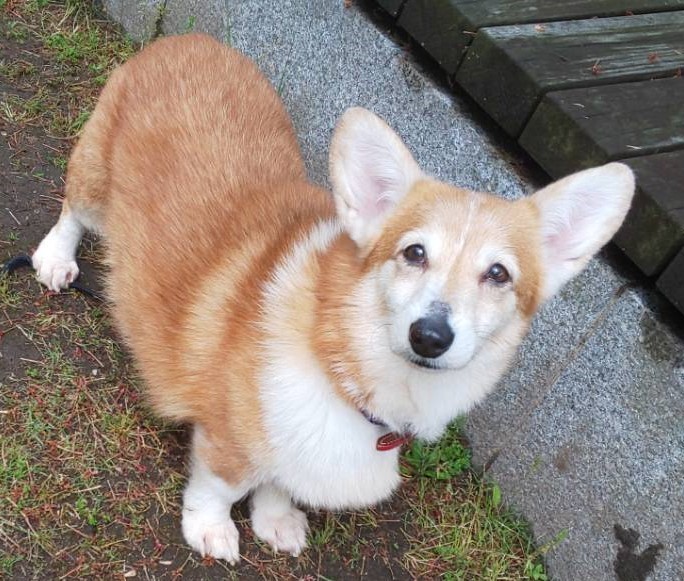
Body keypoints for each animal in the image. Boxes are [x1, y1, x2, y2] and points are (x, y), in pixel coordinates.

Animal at [31, 33, 635, 563]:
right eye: (414, 252)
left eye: (498, 274)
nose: (430, 336)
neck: (346, 366)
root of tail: (190, 39)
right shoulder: (229, 435)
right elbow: (222, 484)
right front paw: (212, 529)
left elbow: (281, 481)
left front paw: (276, 518)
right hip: (93, 173)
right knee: (72, 211)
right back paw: (56, 258)